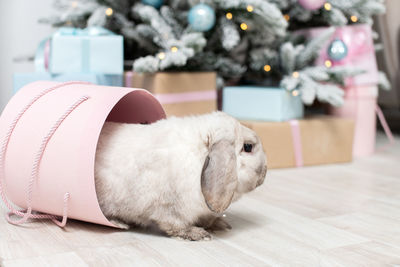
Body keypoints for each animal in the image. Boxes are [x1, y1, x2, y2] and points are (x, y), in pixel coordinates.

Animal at [95, 112, 268, 242]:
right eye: (248, 147)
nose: (265, 171)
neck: (199, 155)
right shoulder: (170, 208)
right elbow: (175, 225)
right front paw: (198, 234)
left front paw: (220, 224)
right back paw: (119, 223)